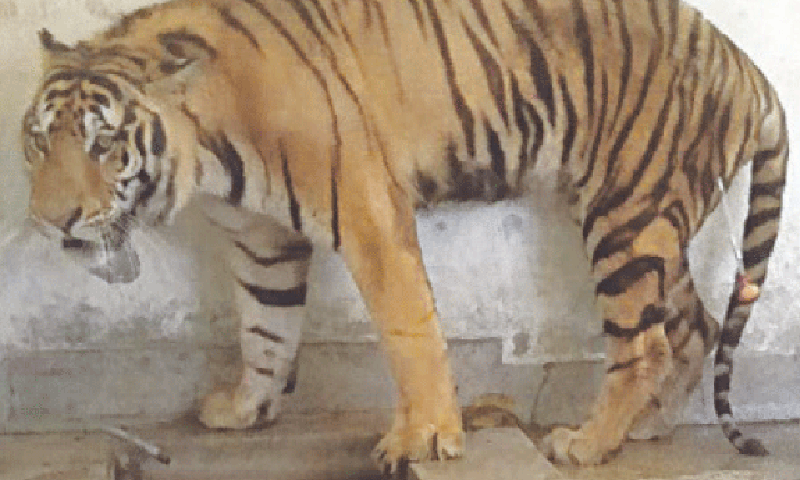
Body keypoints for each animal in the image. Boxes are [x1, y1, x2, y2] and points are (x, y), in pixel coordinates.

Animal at [20, 0, 788, 471]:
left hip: (626, 216)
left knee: (646, 342)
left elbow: (409, 331)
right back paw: (648, 428)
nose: (52, 219)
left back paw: (589, 443)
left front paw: (424, 438)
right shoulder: (262, 238)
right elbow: (265, 330)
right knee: (694, 324)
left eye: (104, 146)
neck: (206, 147)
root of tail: (747, 66)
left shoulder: (367, 210)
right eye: (37, 142)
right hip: (654, 225)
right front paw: (244, 410)